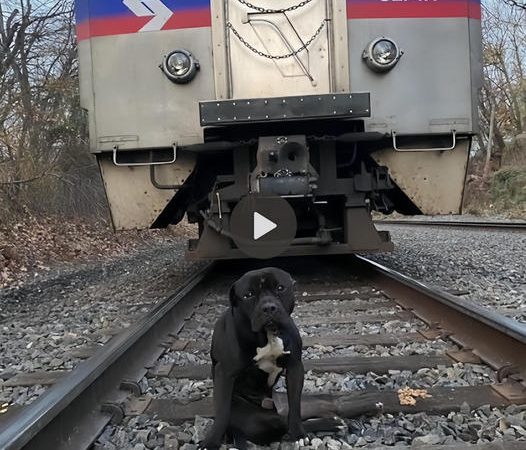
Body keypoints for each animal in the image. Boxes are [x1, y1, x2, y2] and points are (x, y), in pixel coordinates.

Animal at [201, 268, 342, 448]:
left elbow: (295, 405)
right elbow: (222, 412)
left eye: (280, 288)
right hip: (256, 421)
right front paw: (211, 442)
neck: (268, 335)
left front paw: (298, 433)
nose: (268, 307)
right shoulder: (224, 373)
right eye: (248, 295)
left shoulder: (295, 367)